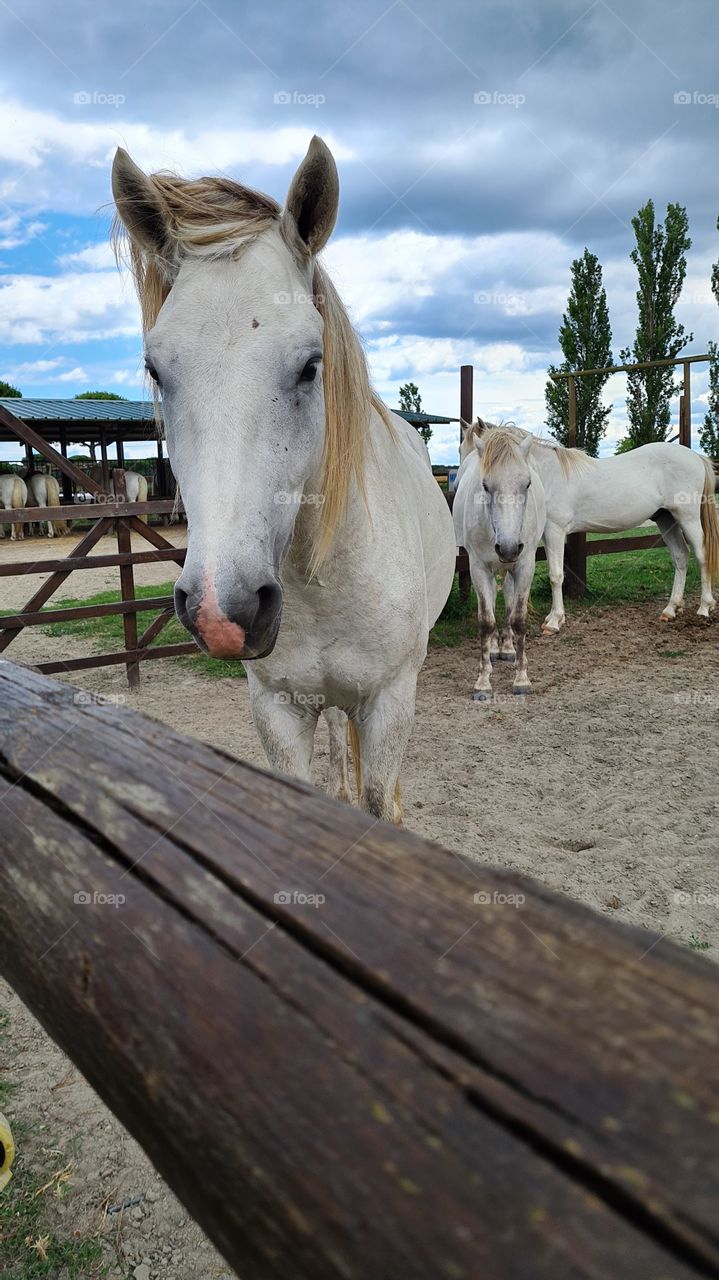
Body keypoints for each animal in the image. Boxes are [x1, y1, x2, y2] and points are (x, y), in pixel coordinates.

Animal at [112, 135, 456, 822]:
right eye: (157, 370)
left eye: (309, 365)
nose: (224, 609)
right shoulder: (277, 709)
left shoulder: (390, 701)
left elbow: (381, 803)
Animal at [454, 425, 546, 699]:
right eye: (485, 485)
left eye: (527, 484)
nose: (507, 547)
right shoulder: (478, 567)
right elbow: (486, 621)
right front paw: (483, 681)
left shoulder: (524, 565)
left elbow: (519, 619)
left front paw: (521, 678)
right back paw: (496, 648)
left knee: (507, 596)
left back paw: (507, 648)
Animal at [471, 419, 719, 632]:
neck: (546, 476)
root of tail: (696, 457)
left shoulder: (555, 531)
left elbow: (555, 575)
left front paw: (554, 621)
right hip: (666, 519)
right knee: (680, 556)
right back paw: (670, 609)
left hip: (687, 517)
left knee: (701, 555)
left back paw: (705, 606)